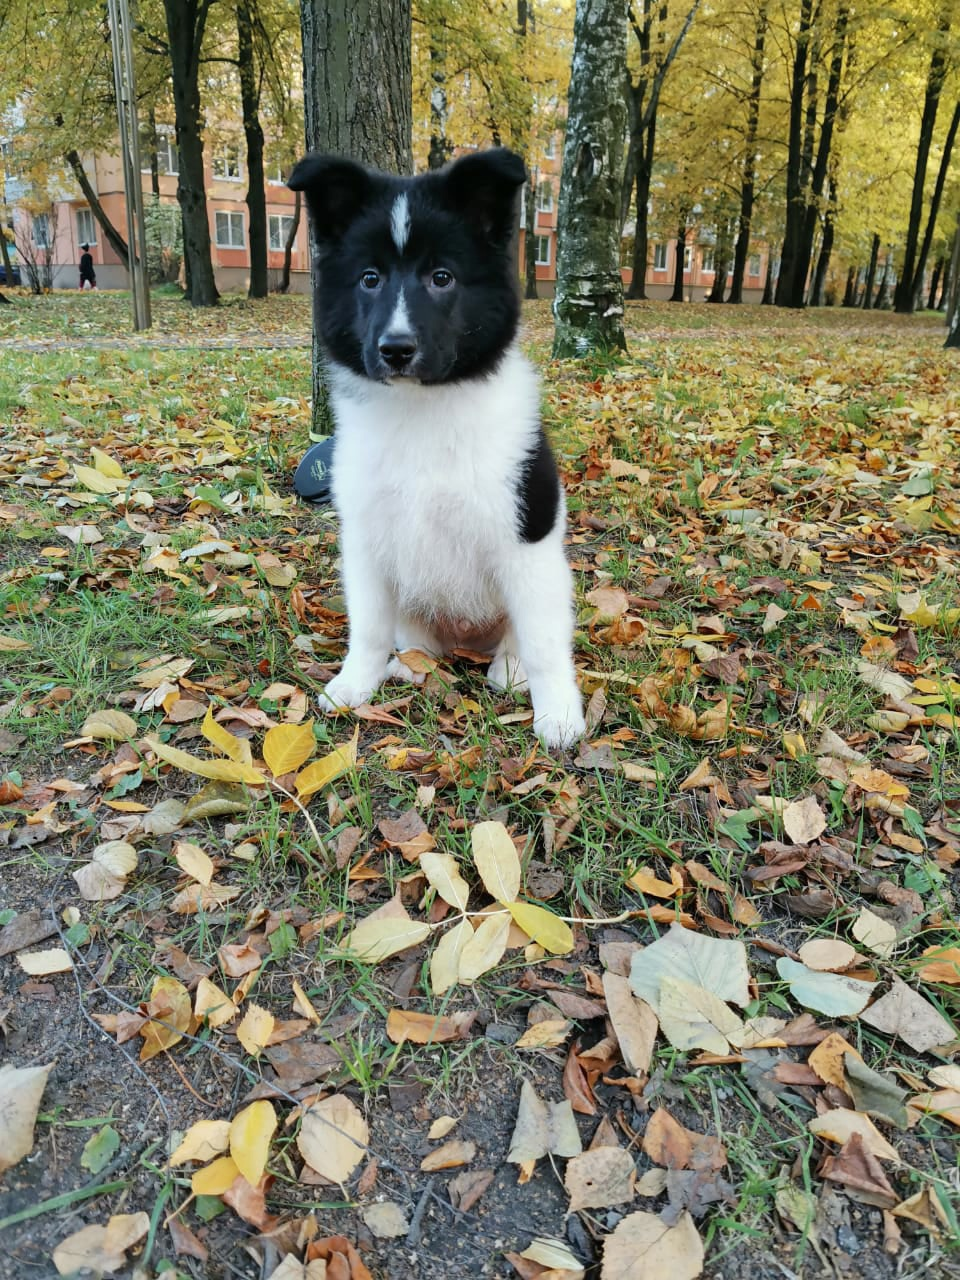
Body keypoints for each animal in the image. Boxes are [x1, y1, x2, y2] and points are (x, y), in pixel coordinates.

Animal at [285, 148, 586, 747]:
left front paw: (560, 714)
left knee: (524, 632)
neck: (422, 411)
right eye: (369, 278)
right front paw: (355, 684)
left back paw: (510, 670)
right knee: (414, 636)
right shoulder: (365, 539)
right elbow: (369, 626)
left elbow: (545, 641)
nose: (396, 349)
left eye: (442, 277)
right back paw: (412, 664)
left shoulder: (526, 538)